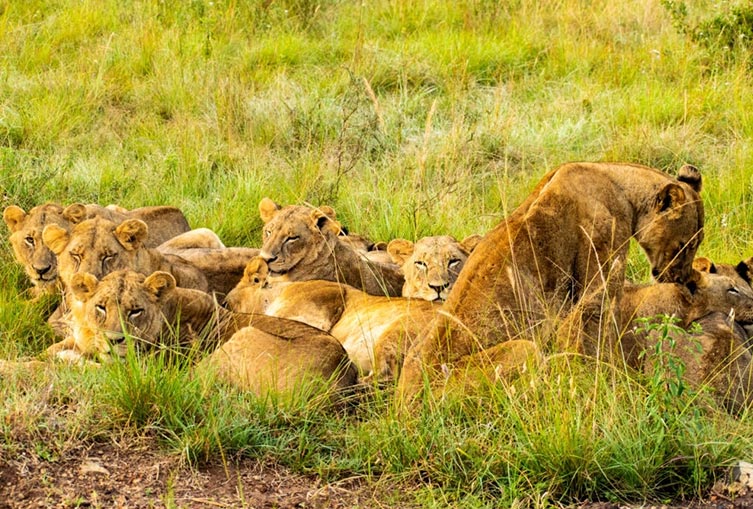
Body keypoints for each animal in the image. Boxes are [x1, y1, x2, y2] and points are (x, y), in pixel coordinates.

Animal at [400, 161, 704, 398]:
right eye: (687, 245)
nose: (684, 279)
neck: (621, 188)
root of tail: (404, 408)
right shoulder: (599, 282)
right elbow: (596, 340)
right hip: (524, 349)